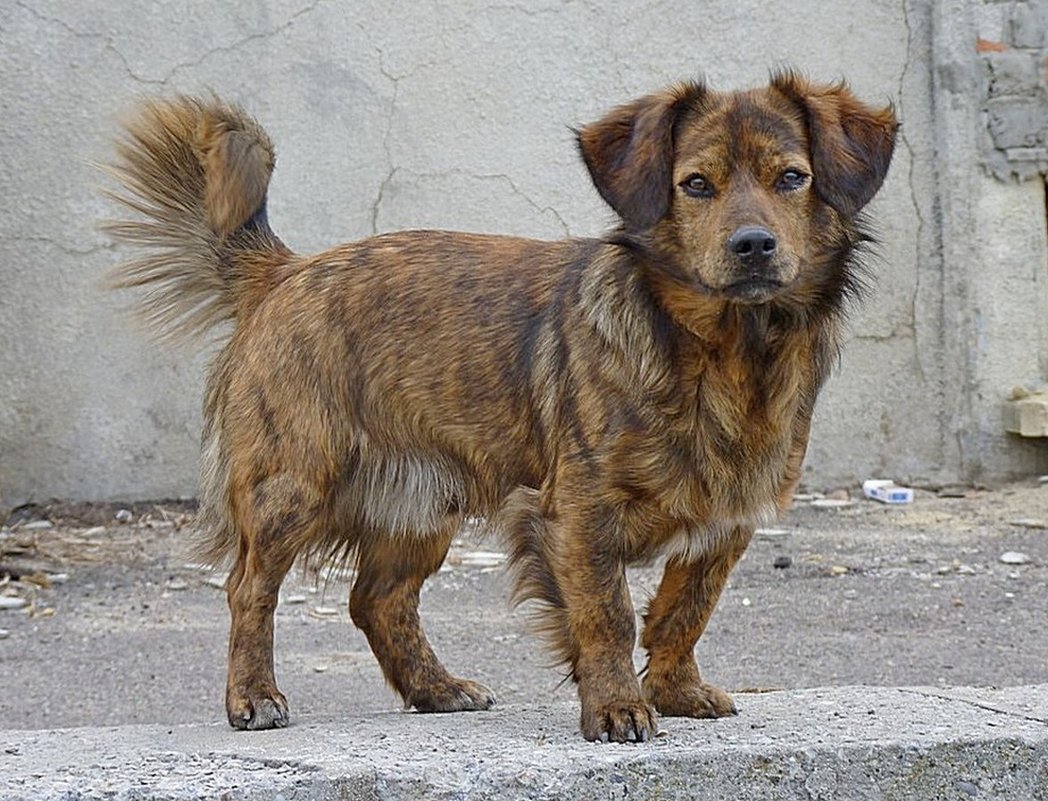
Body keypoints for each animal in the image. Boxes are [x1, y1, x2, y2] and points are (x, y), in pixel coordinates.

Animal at [104, 73, 892, 746]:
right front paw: (616, 705)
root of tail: (286, 271)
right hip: (291, 486)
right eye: (696, 185)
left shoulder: (724, 522)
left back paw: (435, 688)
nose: (753, 245)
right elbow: (608, 613)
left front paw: (673, 690)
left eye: (792, 177)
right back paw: (254, 695)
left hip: (422, 505)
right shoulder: (578, 512)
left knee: (377, 601)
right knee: (250, 590)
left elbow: (683, 611)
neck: (723, 351)